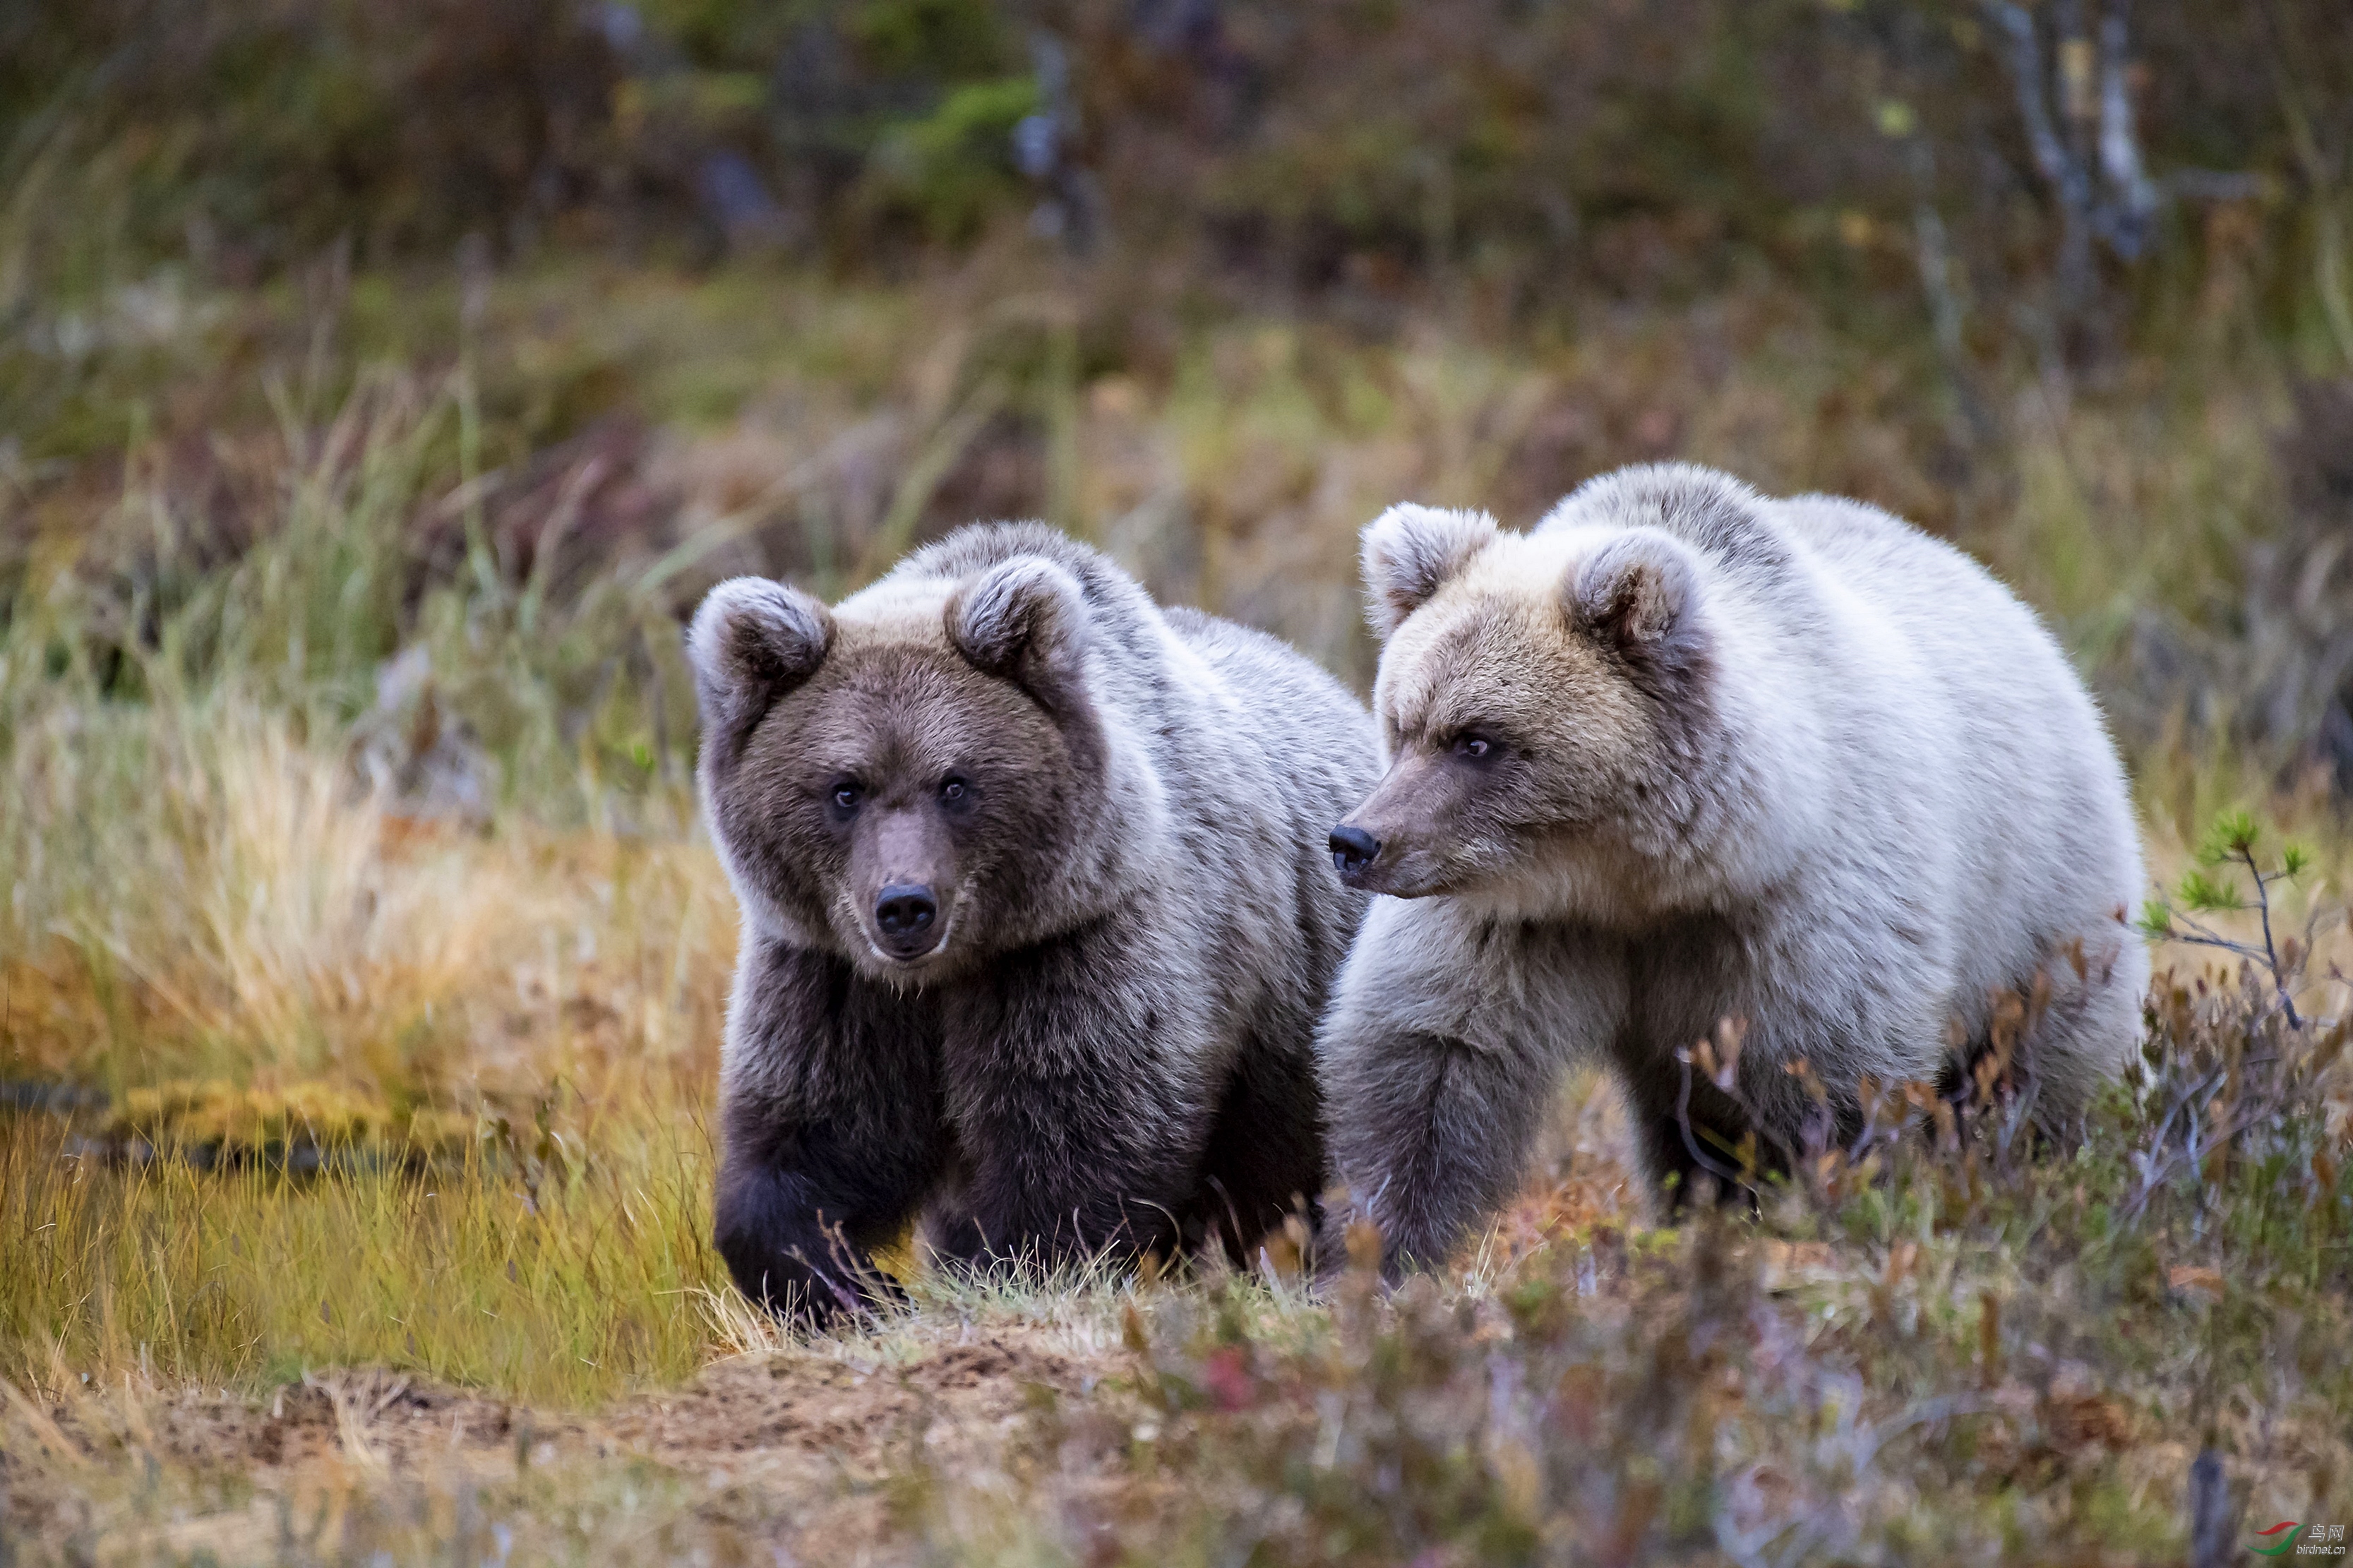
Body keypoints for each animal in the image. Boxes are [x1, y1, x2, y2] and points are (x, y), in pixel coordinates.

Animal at [682, 522, 1374, 1318]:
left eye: (956, 782)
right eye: (845, 788)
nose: (905, 906)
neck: (949, 973)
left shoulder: (1083, 941)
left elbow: (1072, 1144)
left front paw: (994, 1274)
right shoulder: (830, 970)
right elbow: (813, 1131)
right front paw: (854, 1286)